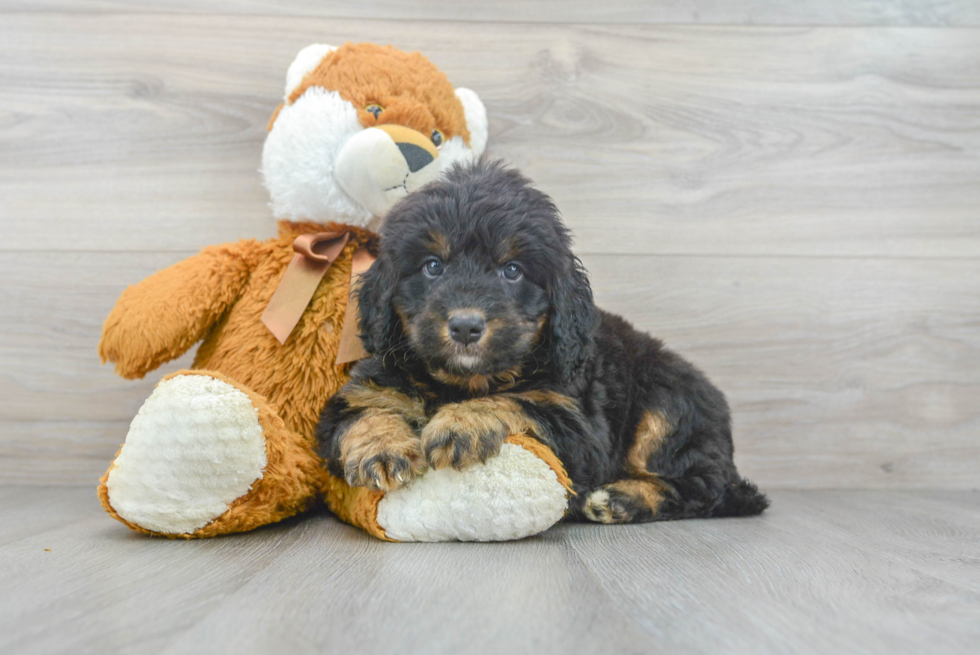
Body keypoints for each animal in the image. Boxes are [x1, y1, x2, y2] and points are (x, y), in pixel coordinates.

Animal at [318, 161, 768, 524]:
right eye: (432, 266)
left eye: (512, 271)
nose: (465, 327)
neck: (458, 383)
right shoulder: (364, 390)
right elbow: (361, 413)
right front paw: (382, 448)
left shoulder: (579, 428)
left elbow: (517, 400)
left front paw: (462, 423)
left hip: (668, 407)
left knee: (703, 487)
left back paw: (622, 500)